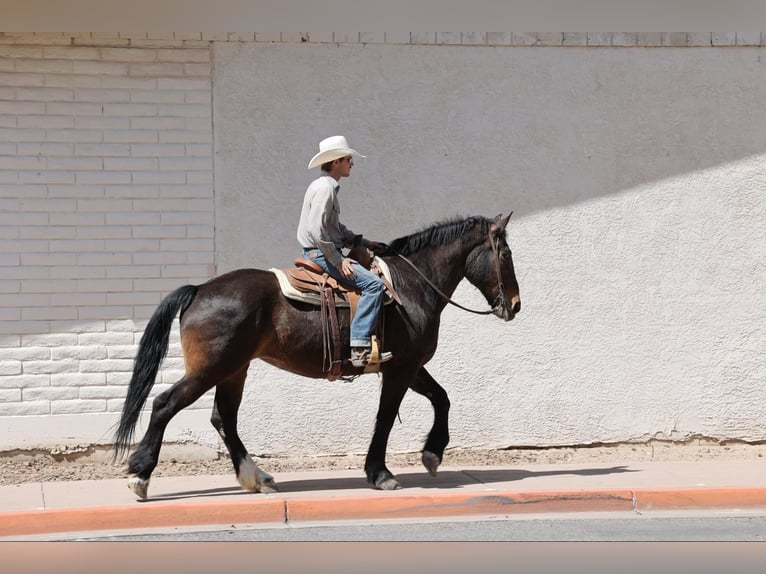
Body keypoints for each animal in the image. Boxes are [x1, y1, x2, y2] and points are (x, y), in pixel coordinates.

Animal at [113, 213, 521, 499]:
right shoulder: (401, 369)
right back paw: (140, 474)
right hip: (210, 369)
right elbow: (386, 417)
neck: (410, 286)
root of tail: (198, 290)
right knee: (166, 404)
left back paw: (256, 477)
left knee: (223, 418)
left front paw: (432, 454)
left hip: (234, 369)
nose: (515, 305)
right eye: (505, 253)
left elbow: (442, 398)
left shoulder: (410, 366)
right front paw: (381, 474)